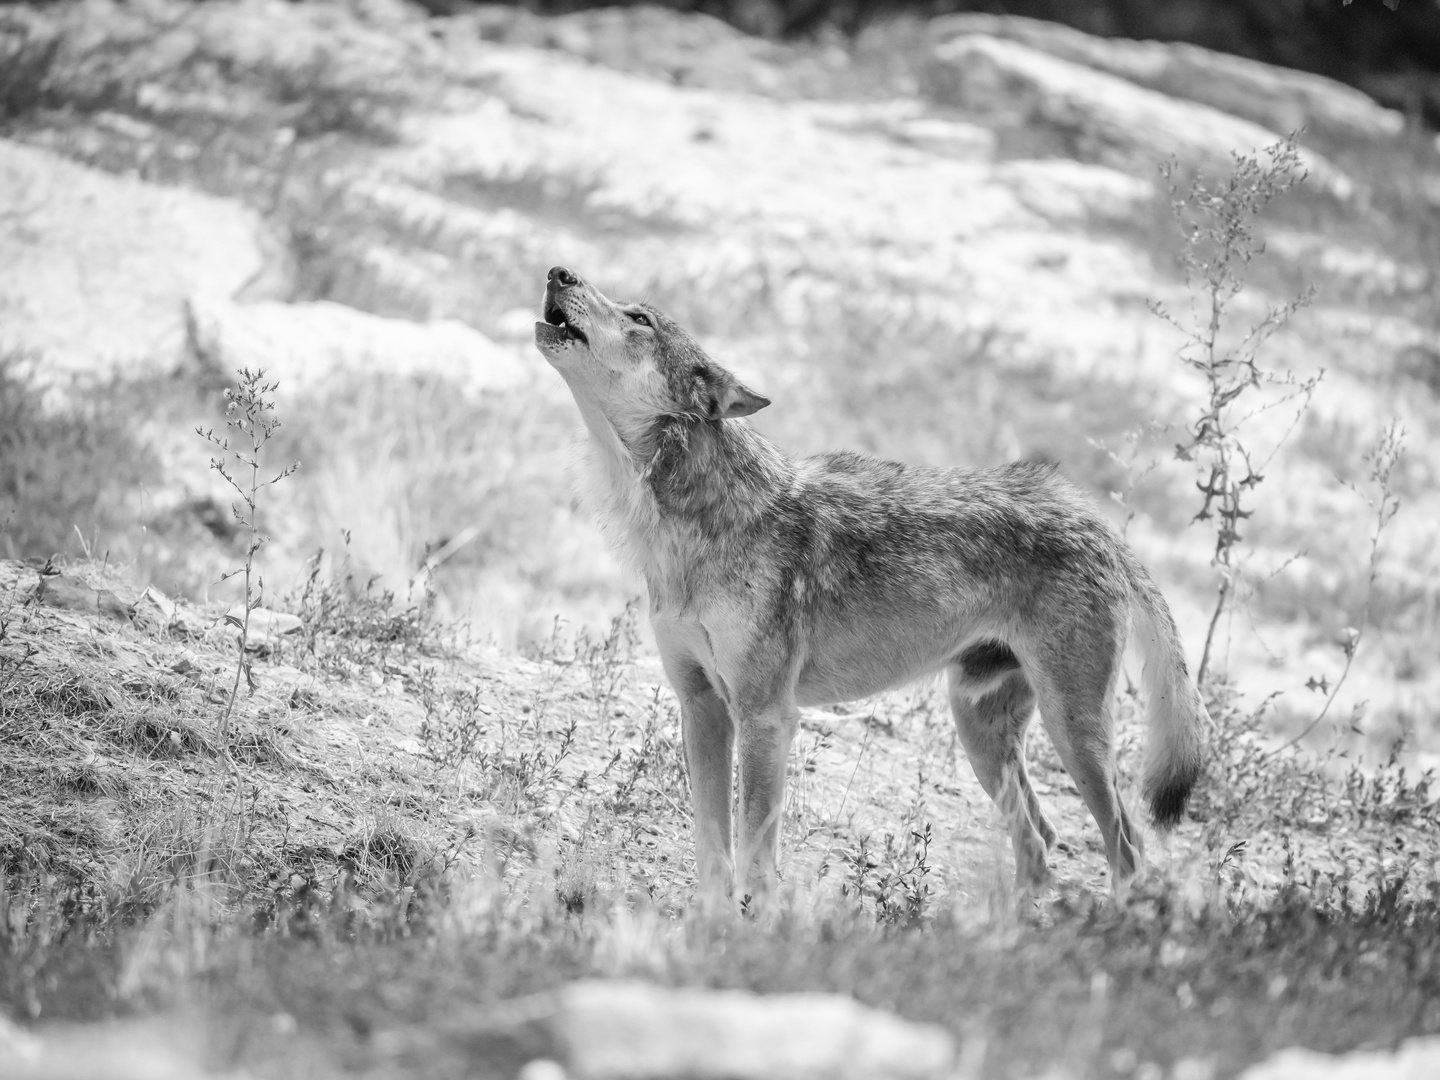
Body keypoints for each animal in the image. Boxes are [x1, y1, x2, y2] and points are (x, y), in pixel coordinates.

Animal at [535, 264, 1209, 904]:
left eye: (640, 317)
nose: (558, 272)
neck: (688, 525)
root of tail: (1092, 517)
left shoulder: (765, 717)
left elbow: (755, 858)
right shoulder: (701, 706)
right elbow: (712, 852)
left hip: (1072, 734)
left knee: (1127, 850)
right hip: (980, 731)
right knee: (1041, 844)